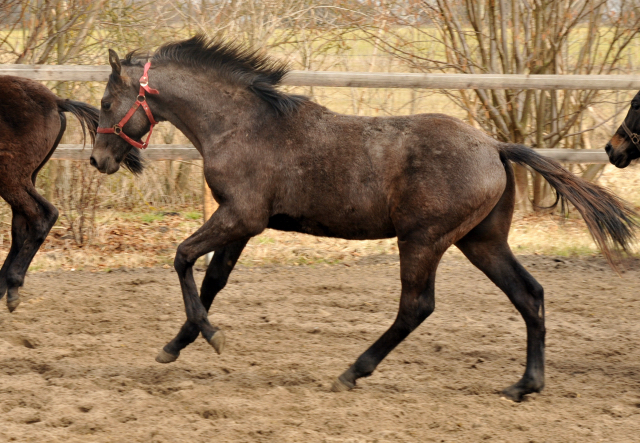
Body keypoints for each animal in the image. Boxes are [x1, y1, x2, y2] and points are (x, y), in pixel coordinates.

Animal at [0, 75, 142, 312]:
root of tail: (55, 101)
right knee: (22, 227)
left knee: (43, 216)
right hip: (24, 178)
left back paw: (13, 284)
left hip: (11, 178)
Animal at [91, 36, 640, 400]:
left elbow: (183, 258)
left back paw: (353, 371)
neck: (241, 125)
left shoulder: (240, 217)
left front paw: (210, 336)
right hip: (481, 241)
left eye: (106, 101)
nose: (98, 160)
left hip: (423, 240)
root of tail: (494, 146)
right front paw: (177, 344)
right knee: (529, 294)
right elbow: (213, 280)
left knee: (417, 307)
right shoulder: (241, 224)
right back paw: (525, 384)